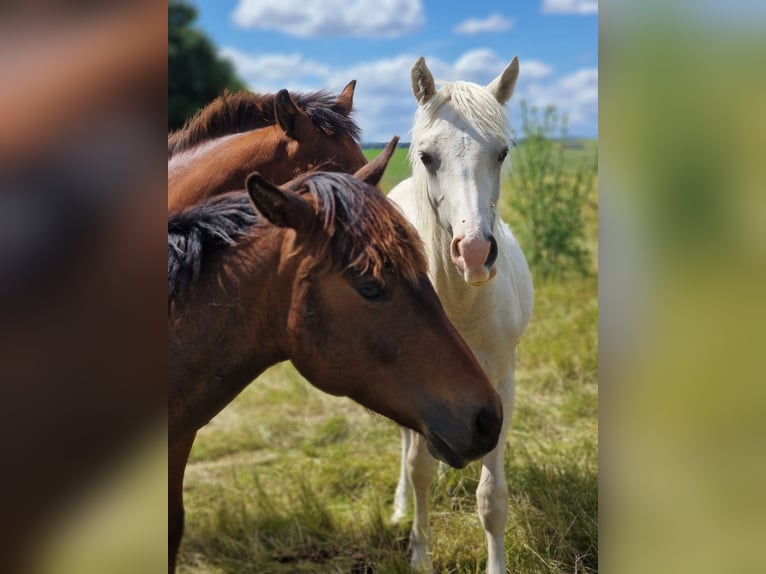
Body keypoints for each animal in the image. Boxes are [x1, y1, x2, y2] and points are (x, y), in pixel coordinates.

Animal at [390, 57, 536, 574]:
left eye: (502, 153)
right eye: (427, 156)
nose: (474, 253)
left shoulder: (500, 386)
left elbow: (492, 499)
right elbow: (419, 470)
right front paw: (419, 551)